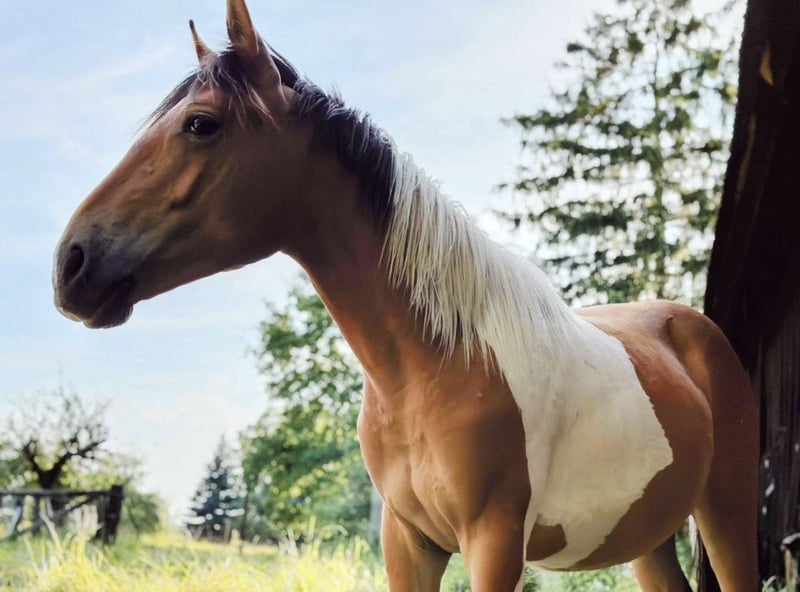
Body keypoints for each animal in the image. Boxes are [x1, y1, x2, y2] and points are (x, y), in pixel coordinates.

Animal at [52, 1, 758, 589]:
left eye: (201, 125)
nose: (71, 265)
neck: (441, 363)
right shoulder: (408, 541)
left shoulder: (493, 544)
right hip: (648, 540)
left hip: (726, 515)